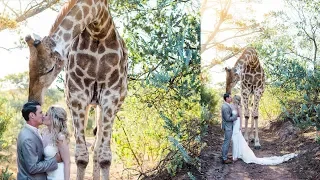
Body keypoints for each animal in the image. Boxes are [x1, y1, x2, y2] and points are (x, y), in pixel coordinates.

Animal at [24, 0, 127, 179]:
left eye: (50, 69)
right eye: (29, 68)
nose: (33, 100)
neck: (99, 29)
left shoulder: (111, 96)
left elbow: (105, 157)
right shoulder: (77, 95)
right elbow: (81, 157)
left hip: (106, 104)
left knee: (97, 149)